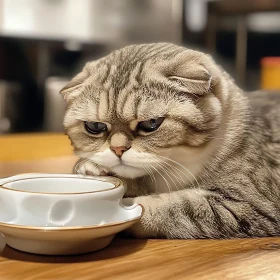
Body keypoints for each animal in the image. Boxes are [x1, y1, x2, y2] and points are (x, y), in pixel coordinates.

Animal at [60, 43, 280, 238]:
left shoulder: (244, 204)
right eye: (95, 127)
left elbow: (162, 207)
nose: (118, 149)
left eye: (151, 123)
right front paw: (93, 168)